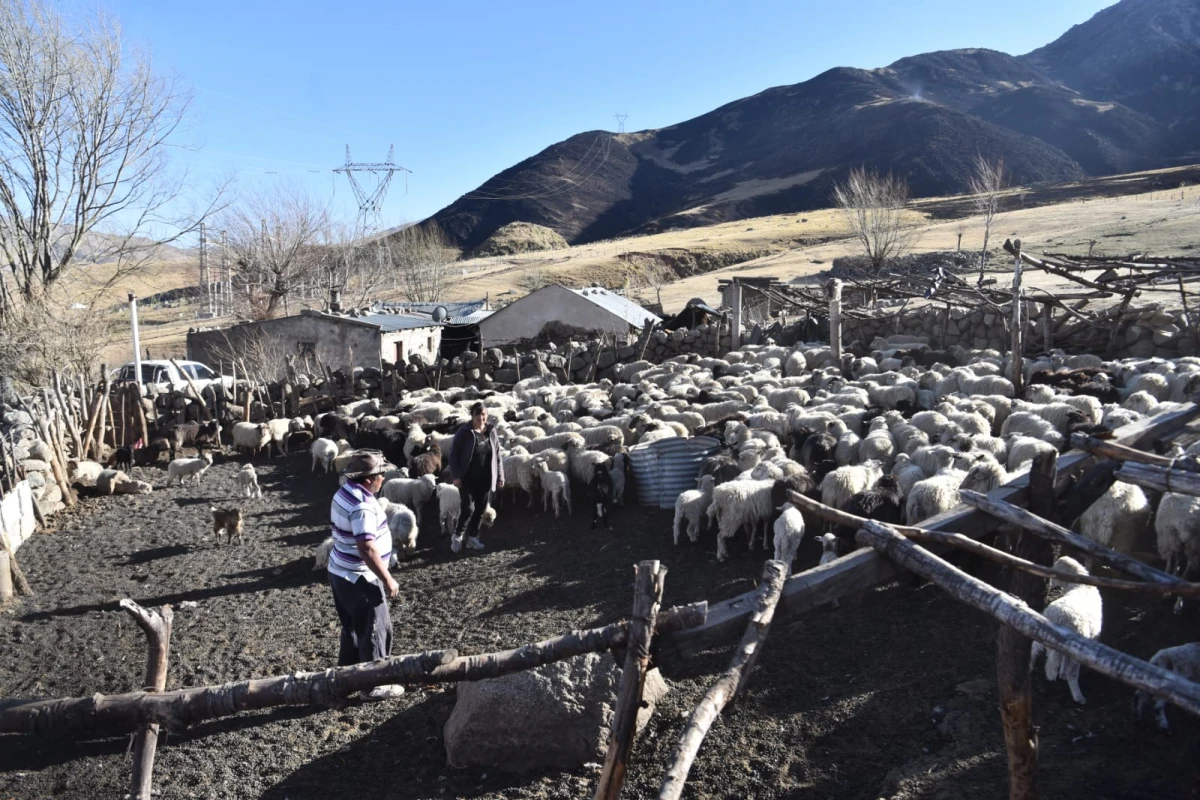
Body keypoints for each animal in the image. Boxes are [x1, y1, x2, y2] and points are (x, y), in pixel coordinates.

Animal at [1027, 556, 1099, 700]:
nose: (1049, 585)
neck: (1081, 585)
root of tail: (1059, 618)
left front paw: (1062, 673)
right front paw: (1064, 673)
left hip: (1042, 628)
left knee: (1034, 648)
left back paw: (1029, 667)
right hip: (1077, 646)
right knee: (1073, 672)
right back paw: (1078, 696)